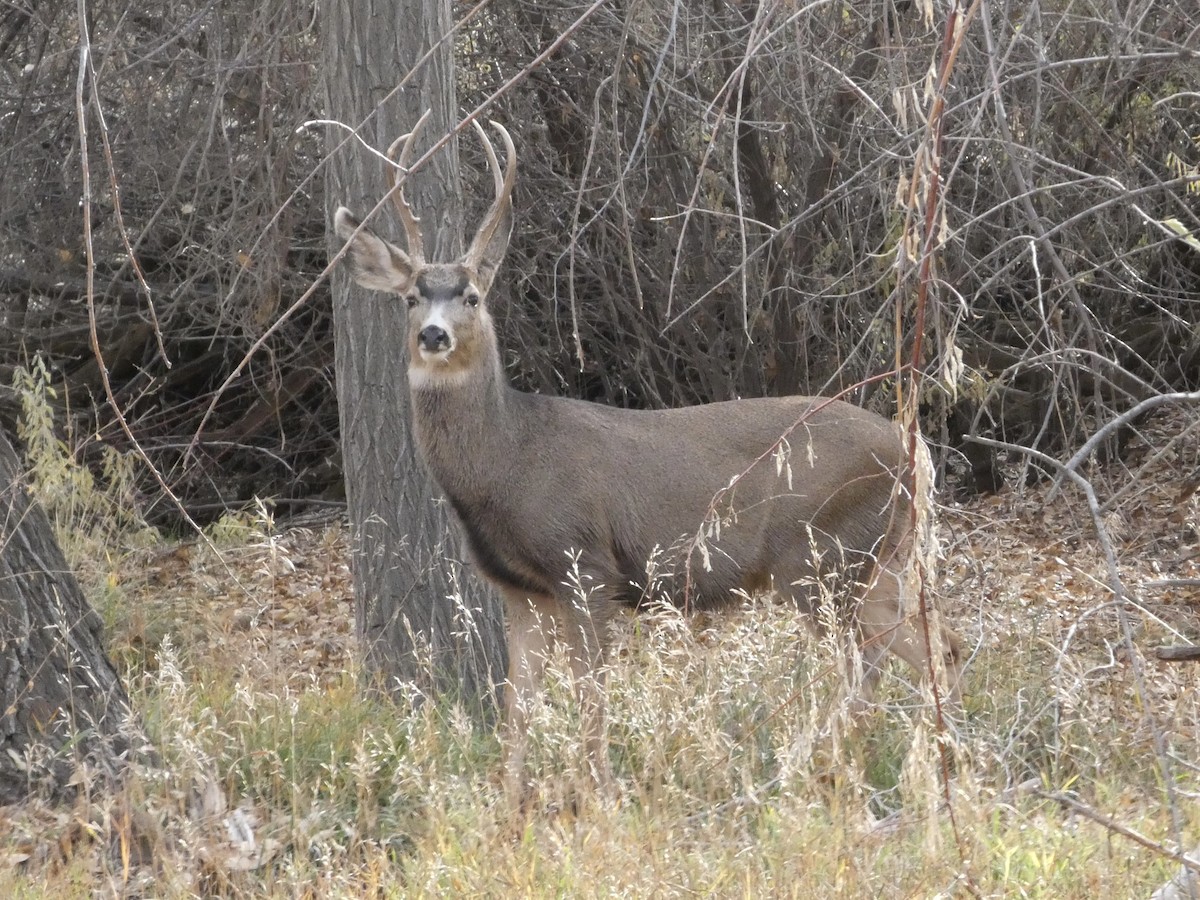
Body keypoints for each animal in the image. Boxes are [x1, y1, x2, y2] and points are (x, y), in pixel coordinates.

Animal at [333, 112, 964, 800]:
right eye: (411, 297)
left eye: (471, 296)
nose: (434, 335)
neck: (508, 461)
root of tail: (916, 454)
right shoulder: (520, 590)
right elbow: (517, 706)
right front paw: (512, 801)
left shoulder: (585, 565)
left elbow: (590, 697)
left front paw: (600, 794)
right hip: (878, 557)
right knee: (936, 645)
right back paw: (942, 759)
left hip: (820, 554)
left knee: (863, 662)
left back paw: (804, 769)